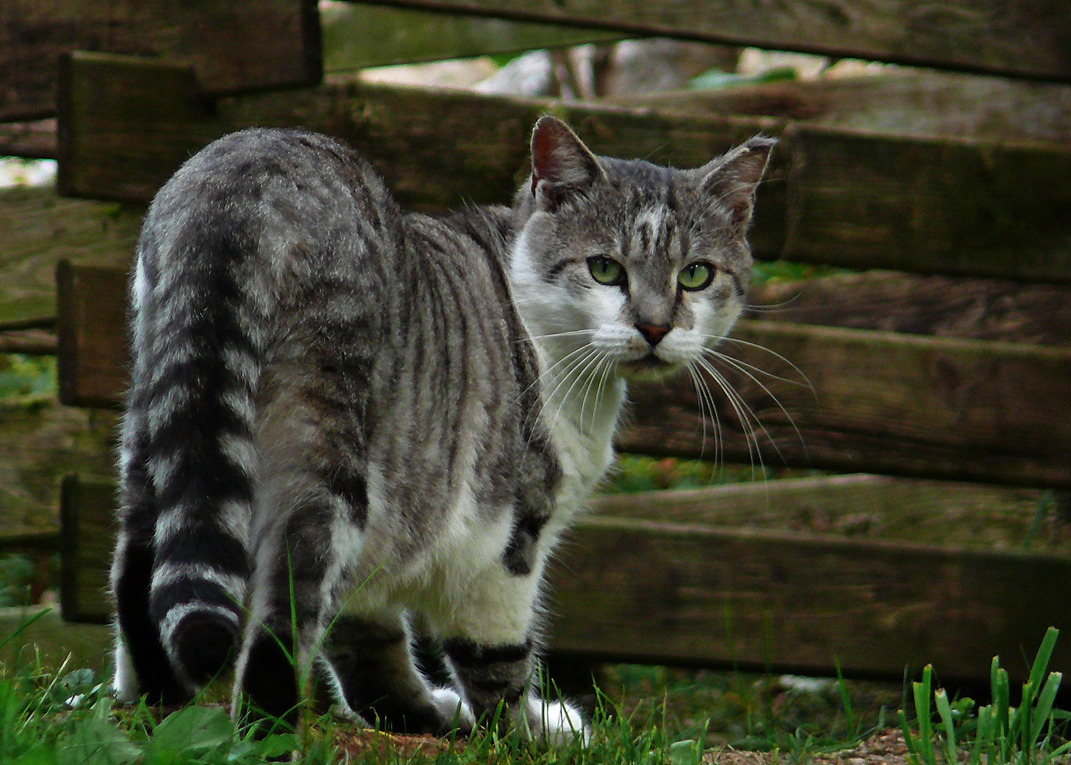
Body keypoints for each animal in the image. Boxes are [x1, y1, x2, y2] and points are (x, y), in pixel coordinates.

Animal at [108, 114, 775, 737]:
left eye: (696, 274)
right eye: (605, 269)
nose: (656, 327)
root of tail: (244, 178)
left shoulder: (395, 527)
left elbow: (367, 637)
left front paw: (413, 712)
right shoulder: (506, 538)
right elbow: (496, 657)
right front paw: (528, 732)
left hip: (166, 414)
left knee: (139, 566)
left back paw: (156, 712)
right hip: (323, 446)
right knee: (285, 605)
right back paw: (266, 731)